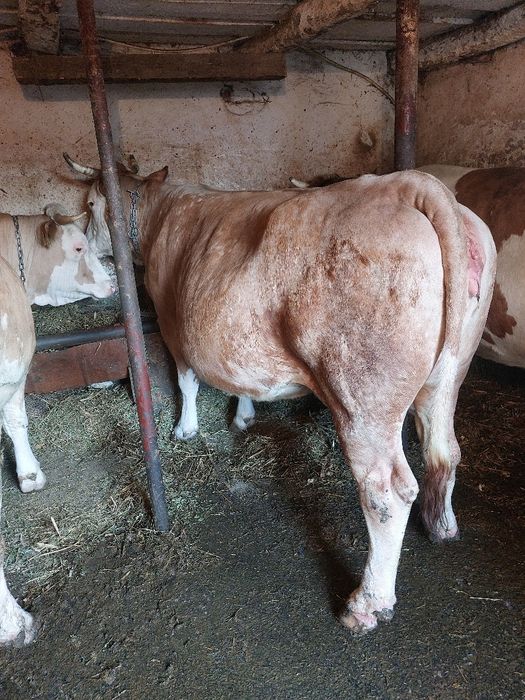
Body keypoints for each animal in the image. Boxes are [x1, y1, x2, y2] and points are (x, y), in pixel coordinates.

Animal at [66, 154, 496, 633]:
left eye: (90, 204)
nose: (90, 249)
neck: (162, 210)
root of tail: (407, 184)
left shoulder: (171, 320)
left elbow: (187, 379)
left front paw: (185, 429)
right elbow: (239, 377)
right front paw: (244, 414)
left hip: (363, 395)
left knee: (386, 490)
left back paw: (366, 603)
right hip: (450, 372)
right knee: (445, 450)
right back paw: (440, 526)